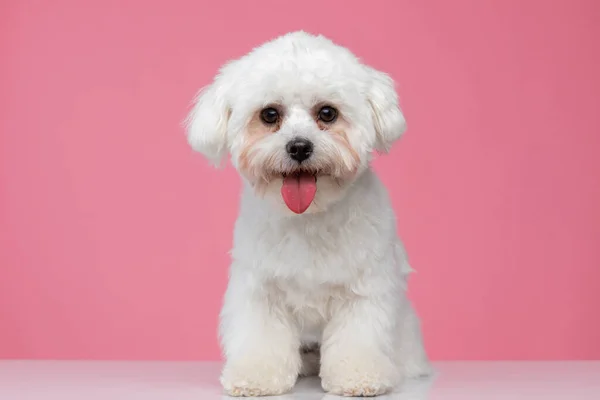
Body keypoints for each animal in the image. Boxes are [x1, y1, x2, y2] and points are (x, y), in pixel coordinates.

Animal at [185, 31, 428, 396]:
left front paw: (359, 375)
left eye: (327, 113)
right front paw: (256, 376)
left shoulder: (363, 289)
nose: (299, 146)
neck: (308, 217)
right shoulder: (260, 290)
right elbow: (261, 336)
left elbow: (358, 336)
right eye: (269, 114)